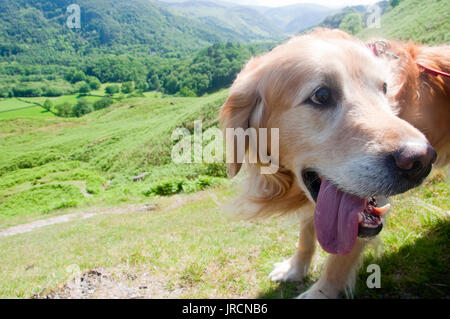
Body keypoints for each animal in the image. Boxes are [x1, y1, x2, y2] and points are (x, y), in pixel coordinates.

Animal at [219, 28, 446, 300]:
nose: (421, 159)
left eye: (384, 88)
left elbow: (339, 259)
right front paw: (295, 269)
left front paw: (321, 292)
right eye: (322, 95)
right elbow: (307, 234)